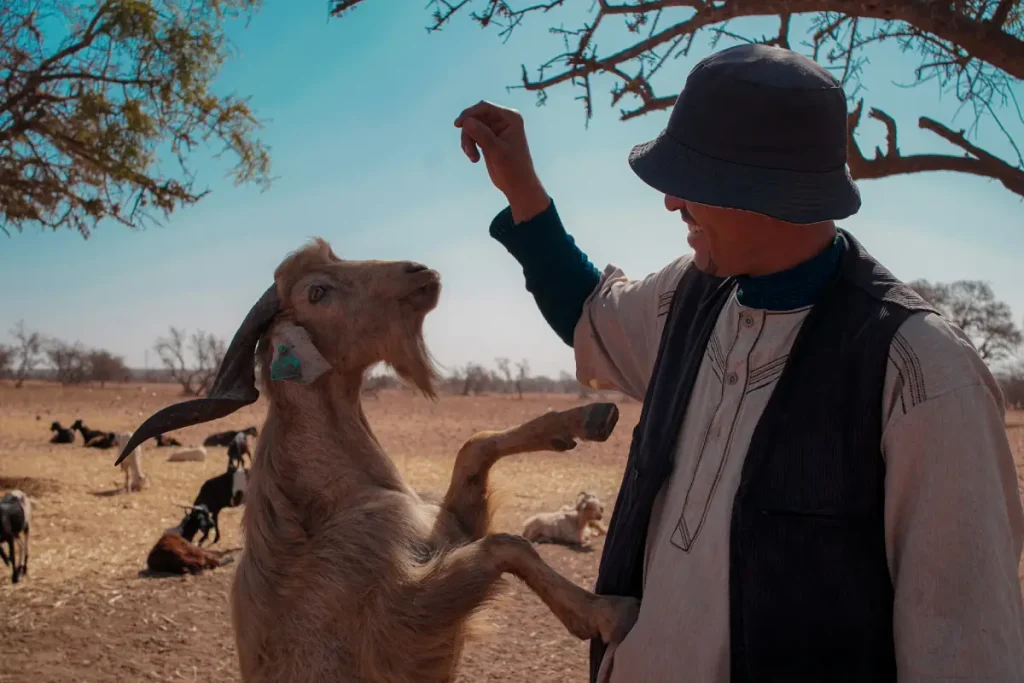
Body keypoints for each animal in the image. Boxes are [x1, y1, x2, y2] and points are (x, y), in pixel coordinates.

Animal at [114, 238, 639, 683]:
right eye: (317, 291)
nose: (420, 271)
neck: (329, 504)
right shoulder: (403, 617)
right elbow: (506, 545)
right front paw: (606, 613)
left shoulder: (445, 533)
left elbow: (476, 446)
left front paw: (586, 418)